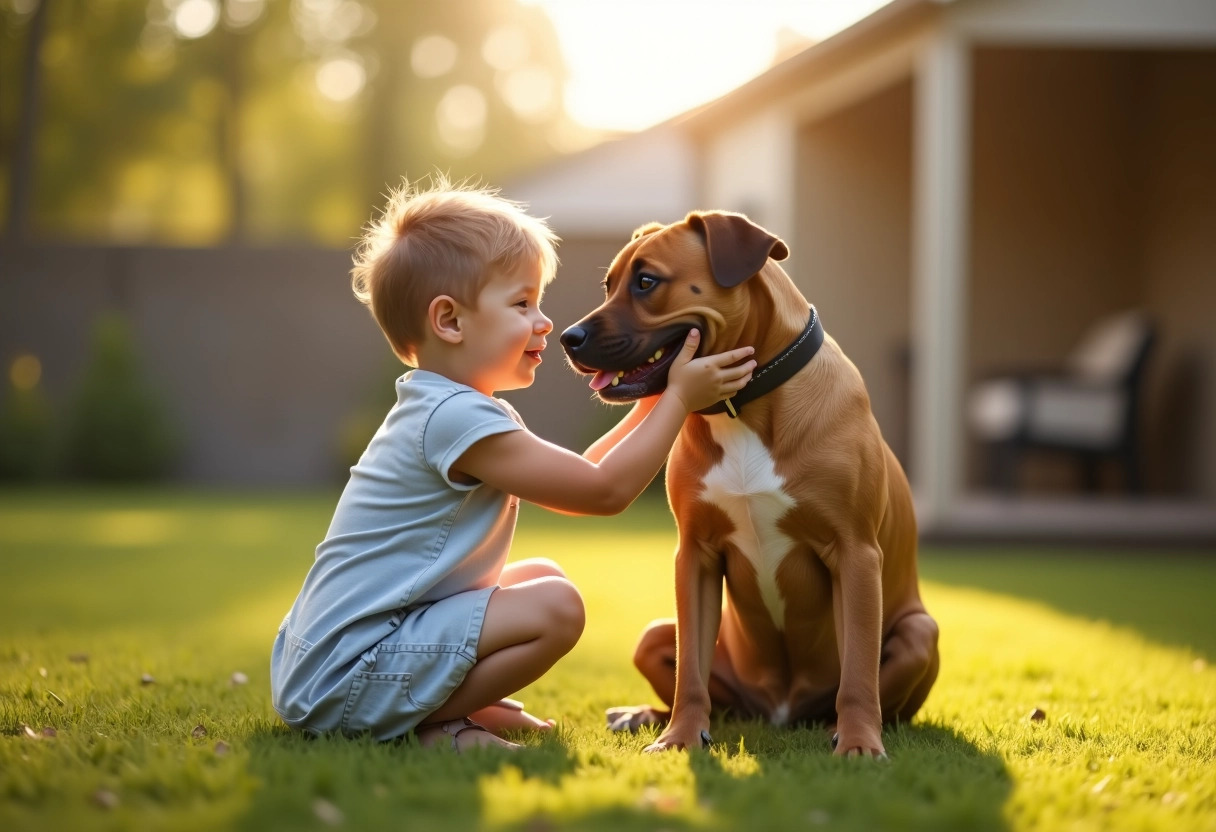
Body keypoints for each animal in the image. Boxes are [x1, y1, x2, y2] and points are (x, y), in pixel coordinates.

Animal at [559, 209, 938, 754]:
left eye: (646, 281)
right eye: (609, 285)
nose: (566, 338)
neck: (745, 406)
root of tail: (779, 712)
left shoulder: (855, 554)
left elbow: (860, 670)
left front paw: (859, 742)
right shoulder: (695, 556)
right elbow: (690, 673)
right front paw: (680, 736)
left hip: (919, 631)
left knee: (874, 693)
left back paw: (840, 726)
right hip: (657, 635)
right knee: (708, 690)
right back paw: (646, 716)